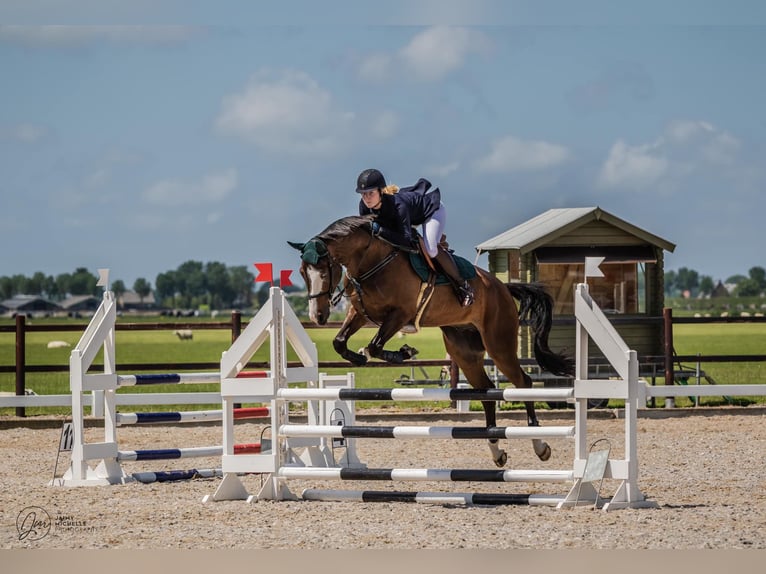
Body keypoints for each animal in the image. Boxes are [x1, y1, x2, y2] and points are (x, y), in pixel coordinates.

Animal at [290, 214, 576, 470]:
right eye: (303, 272)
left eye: (324, 272)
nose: (317, 316)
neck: (371, 261)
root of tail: (504, 288)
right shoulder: (360, 313)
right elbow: (340, 342)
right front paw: (361, 356)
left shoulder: (400, 314)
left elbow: (375, 345)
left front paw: (403, 352)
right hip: (464, 351)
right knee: (486, 392)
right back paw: (497, 452)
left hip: (499, 344)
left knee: (522, 383)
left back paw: (540, 445)